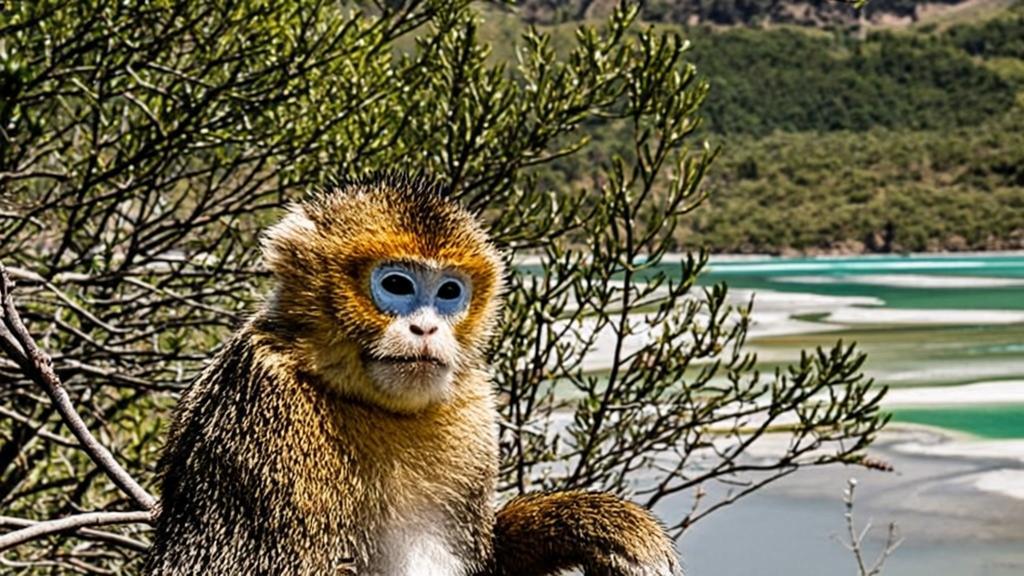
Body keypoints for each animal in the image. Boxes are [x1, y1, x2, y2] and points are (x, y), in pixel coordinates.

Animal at [144, 173, 681, 576]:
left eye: (448, 292)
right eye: (397, 285)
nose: (426, 327)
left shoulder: (472, 405)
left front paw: (595, 526)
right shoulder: (265, 397)